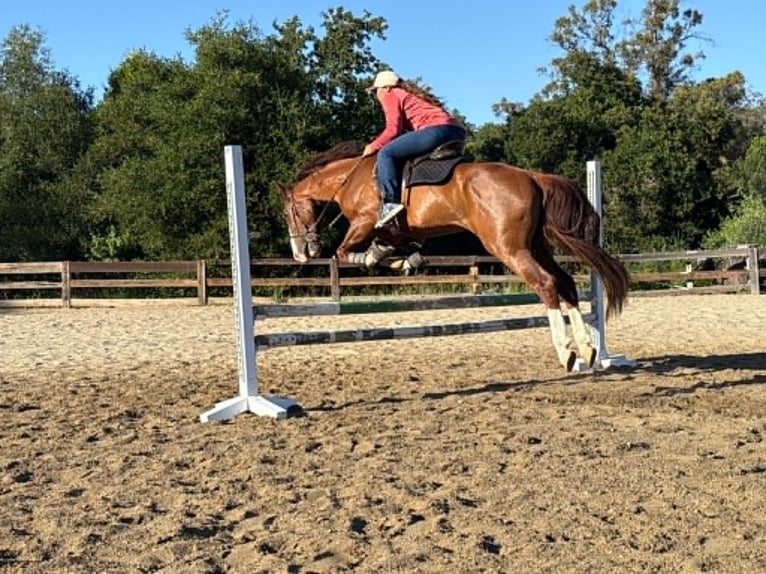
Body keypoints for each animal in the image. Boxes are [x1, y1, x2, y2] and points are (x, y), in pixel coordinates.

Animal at [275, 140, 629, 371]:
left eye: (288, 213)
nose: (302, 254)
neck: (350, 177)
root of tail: (532, 177)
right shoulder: (395, 232)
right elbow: (388, 247)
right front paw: (404, 260)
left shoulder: (364, 221)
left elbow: (345, 252)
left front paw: (379, 259)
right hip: (536, 245)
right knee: (565, 282)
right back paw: (588, 348)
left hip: (508, 248)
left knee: (546, 284)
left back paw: (566, 351)